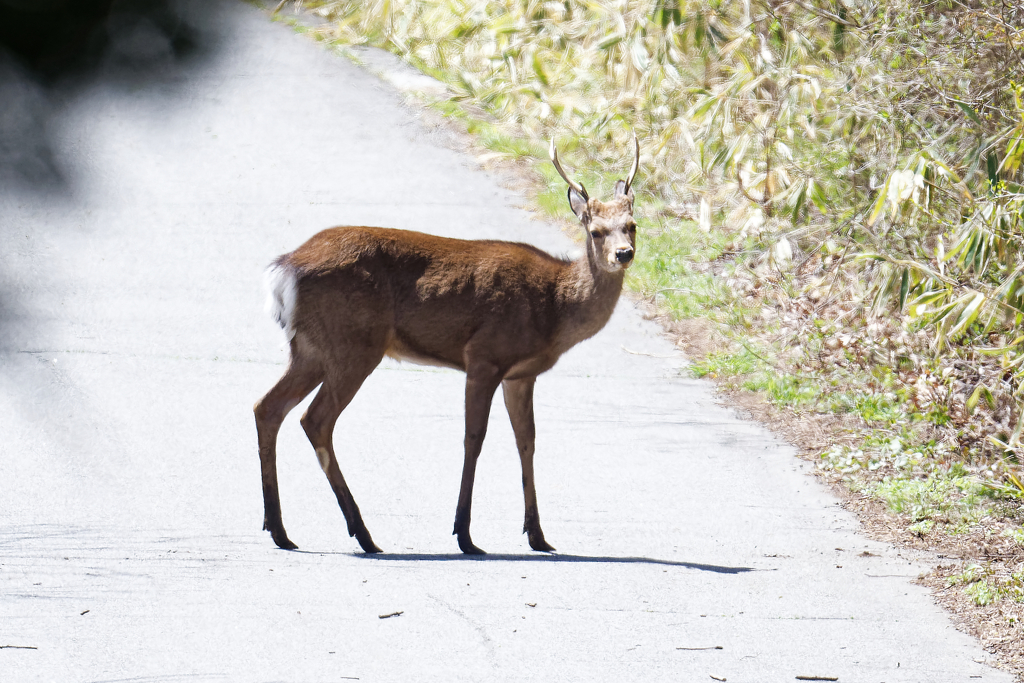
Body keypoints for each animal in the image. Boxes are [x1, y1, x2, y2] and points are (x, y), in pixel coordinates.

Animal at [253, 137, 638, 557]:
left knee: (267, 407)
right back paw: (363, 533)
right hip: (353, 343)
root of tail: (284, 268)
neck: (554, 306)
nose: (624, 253)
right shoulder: (484, 356)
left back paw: (280, 530)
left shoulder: (521, 375)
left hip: (310, 348)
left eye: (632, 226)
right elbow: (474, 438)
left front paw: (537, 535)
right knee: (315, 419)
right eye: (596, 231)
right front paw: (464, 534)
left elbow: (527, 441)